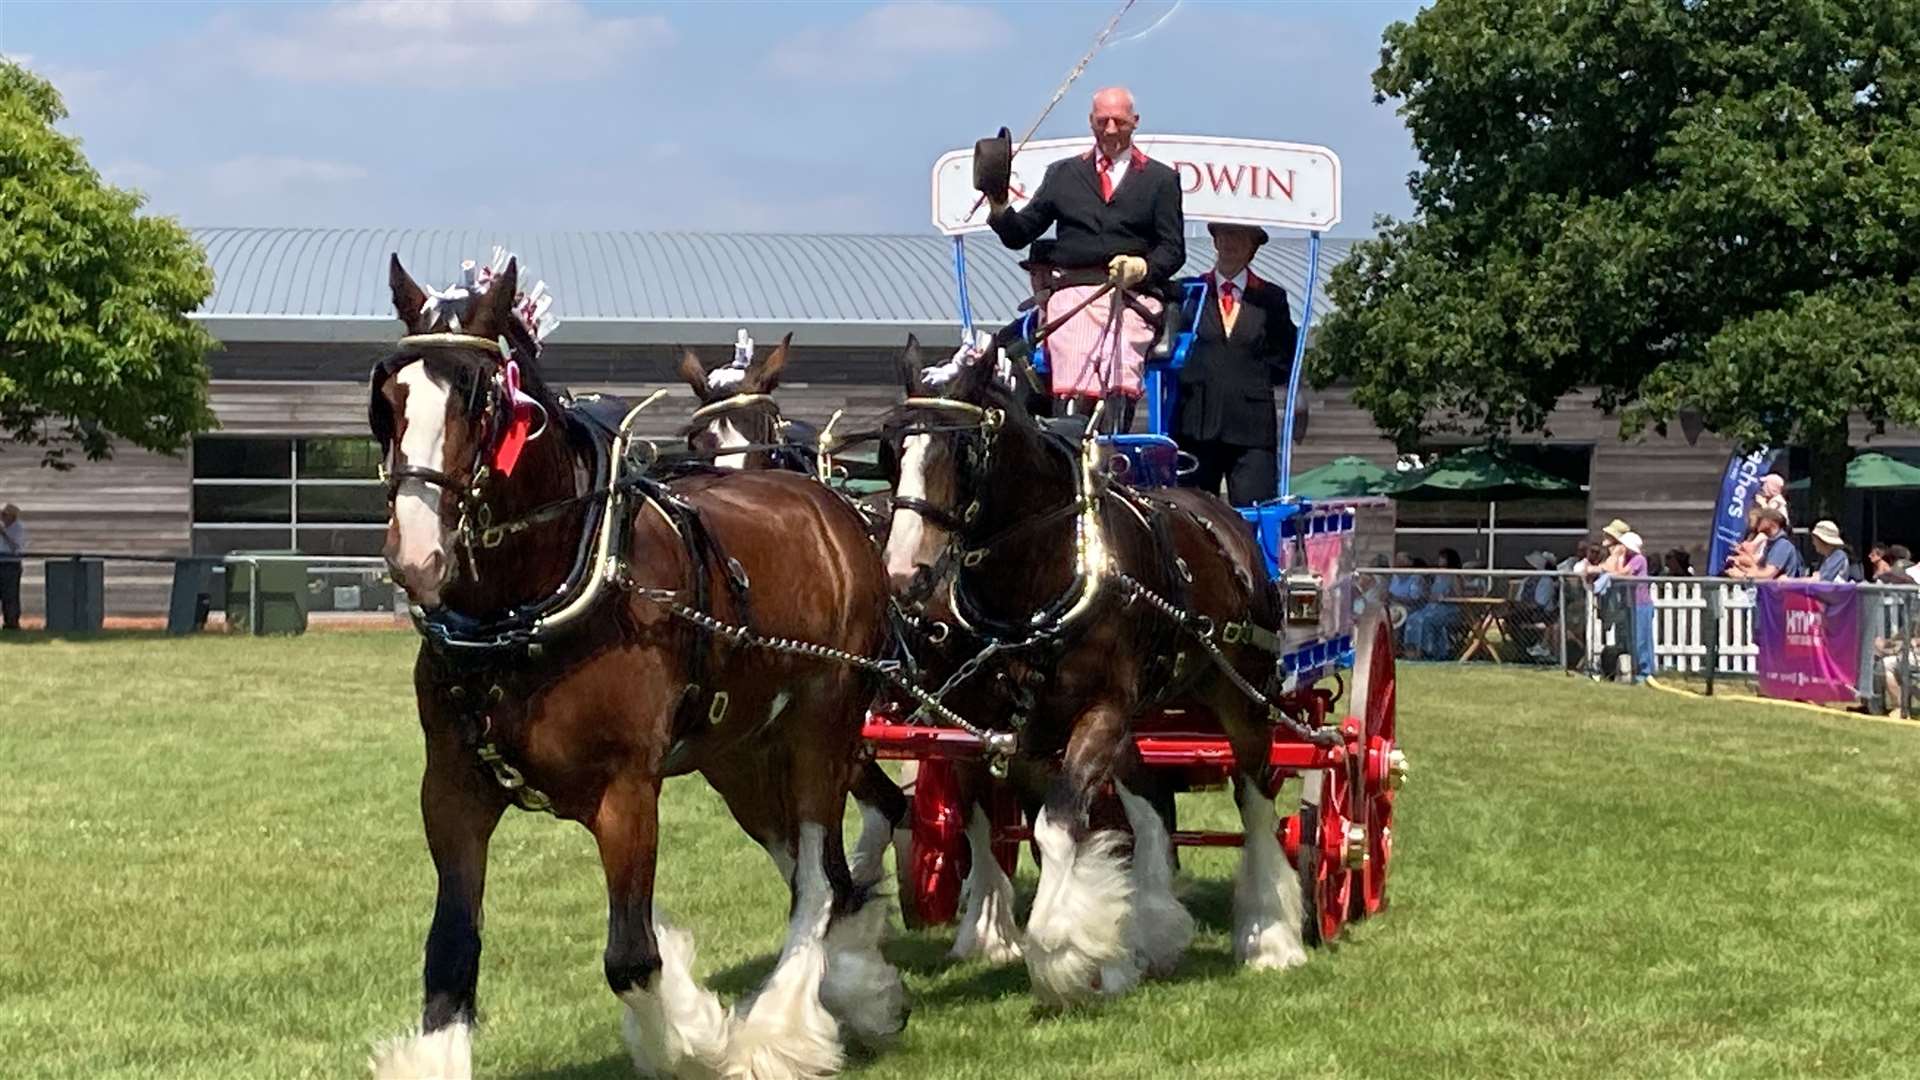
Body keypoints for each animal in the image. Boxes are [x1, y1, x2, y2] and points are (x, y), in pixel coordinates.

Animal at [376, 253, 913, 1076]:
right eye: (391, 397)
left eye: (483, 400)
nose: (415, 553)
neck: (525, 617)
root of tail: (832, 508)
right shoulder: (452, 790)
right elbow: (451, 954)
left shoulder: (627, 790)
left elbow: (632, 956)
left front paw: (695, 1038)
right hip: (740, 757)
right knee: (817, 874)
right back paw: (858, 989)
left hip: (825, 728)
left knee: (820, 881)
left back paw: (777, 1031)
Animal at [879, 334, 1320, 999]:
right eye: (891, 449)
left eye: (963, 450)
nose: (904, 572)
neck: (1045, 572)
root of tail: (1223, 516)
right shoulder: (1022, 731)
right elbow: (1049, 828)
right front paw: (1101, 951)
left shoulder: (1100, 708)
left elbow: (1057, 826)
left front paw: (1060, 951)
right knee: (1153, 803)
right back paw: (1153, 932)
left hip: (1241, 699)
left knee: (1256, 799)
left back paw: (1269, 935)